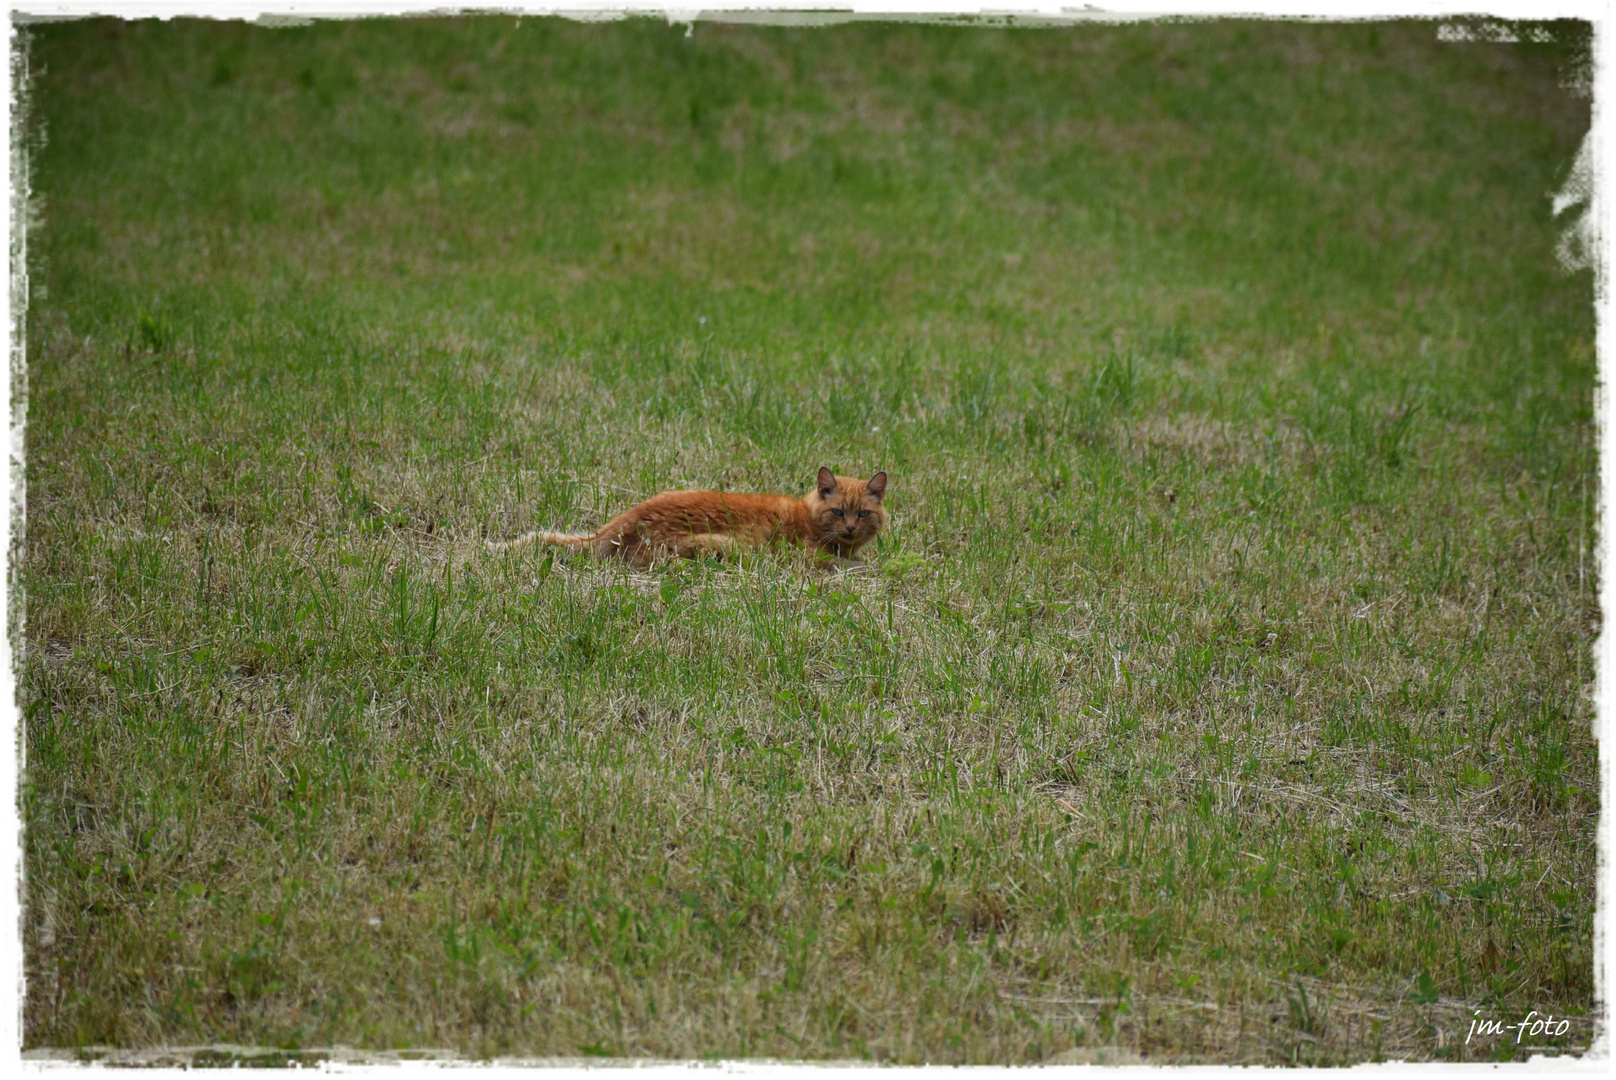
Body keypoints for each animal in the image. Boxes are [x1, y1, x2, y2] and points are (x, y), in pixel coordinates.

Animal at [491, 465, 898, 569]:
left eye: (863, 513)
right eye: (837, 512)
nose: (850, 528)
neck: (807, 516)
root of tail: (612, 528)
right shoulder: (811, 556)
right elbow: (856, 565)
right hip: (720, 546)